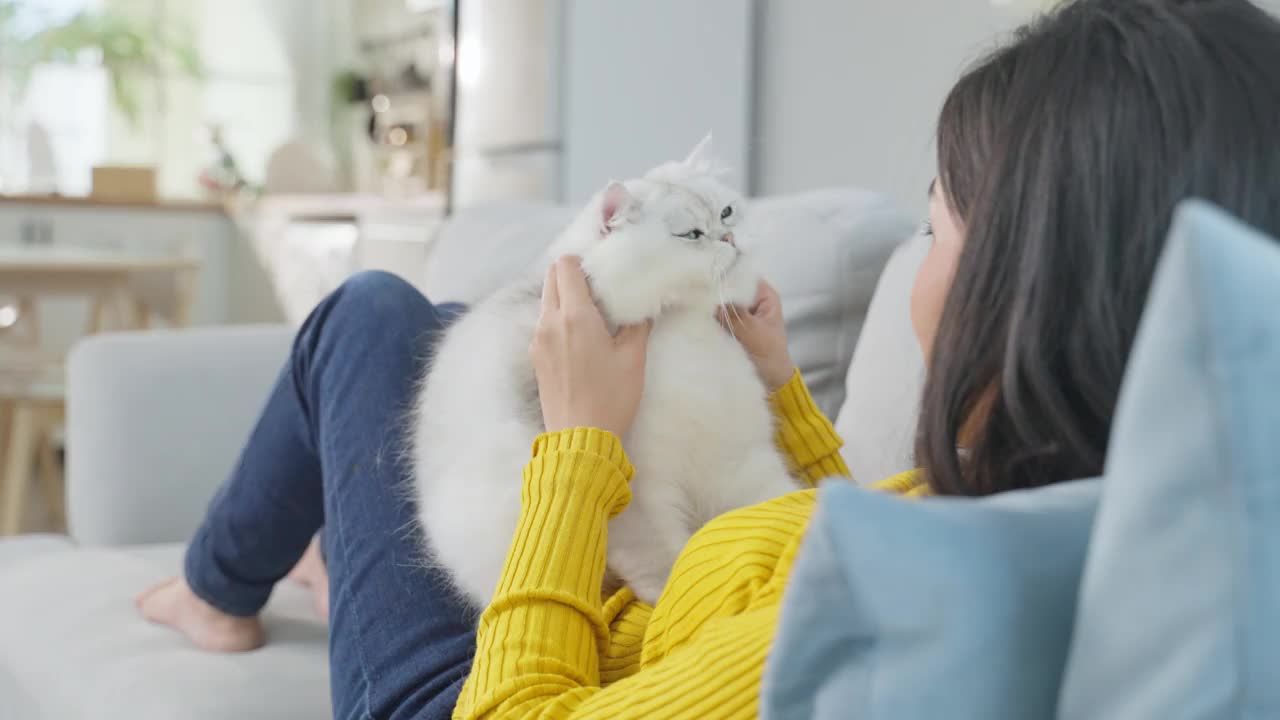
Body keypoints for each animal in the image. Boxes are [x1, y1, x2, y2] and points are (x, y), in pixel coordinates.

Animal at [412, 140, 798, 604]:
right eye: (691, 235)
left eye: (726, 212)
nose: (730, 237)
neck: (688, 332)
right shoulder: (642, 496)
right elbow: (666, 563)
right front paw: (669, 597)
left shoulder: (740, 460)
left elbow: (782, 502)